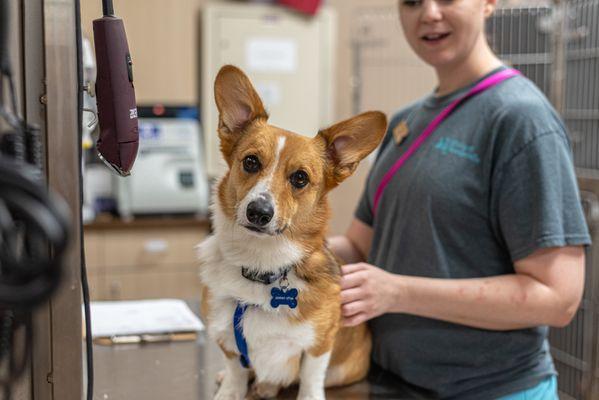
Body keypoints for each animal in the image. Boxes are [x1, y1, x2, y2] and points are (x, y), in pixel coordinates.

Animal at [198, 65, 390, 400]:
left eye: (300, 178)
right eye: (251, 162)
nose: (259, 212)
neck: (260, 264)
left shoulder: (319, 343)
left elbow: (310, 378)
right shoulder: (227, 338)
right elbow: (236, 370)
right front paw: (231, 390)